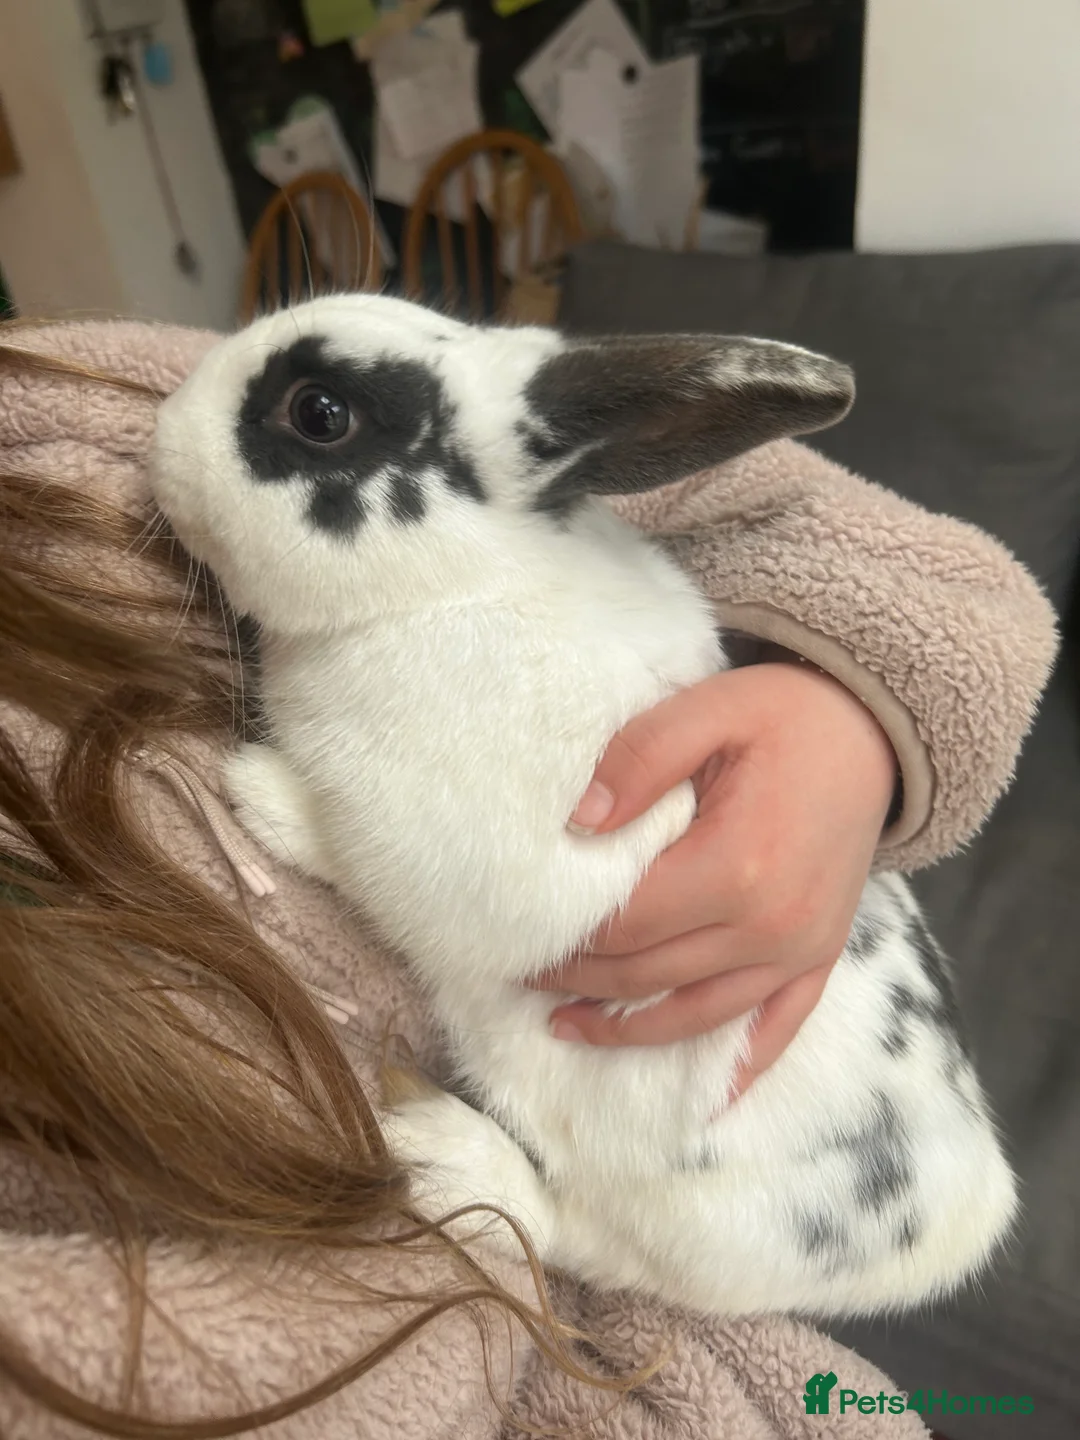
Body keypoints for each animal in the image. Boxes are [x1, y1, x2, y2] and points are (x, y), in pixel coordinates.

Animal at [150, 293, 1017, 1320]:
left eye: (320, 414)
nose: (162, 435)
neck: (457, 583)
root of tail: (954, 1231)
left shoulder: (465, 858)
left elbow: (353, 850)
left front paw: (263, 796)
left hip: (674, 1221)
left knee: (576, 1238)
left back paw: (445, 1156)